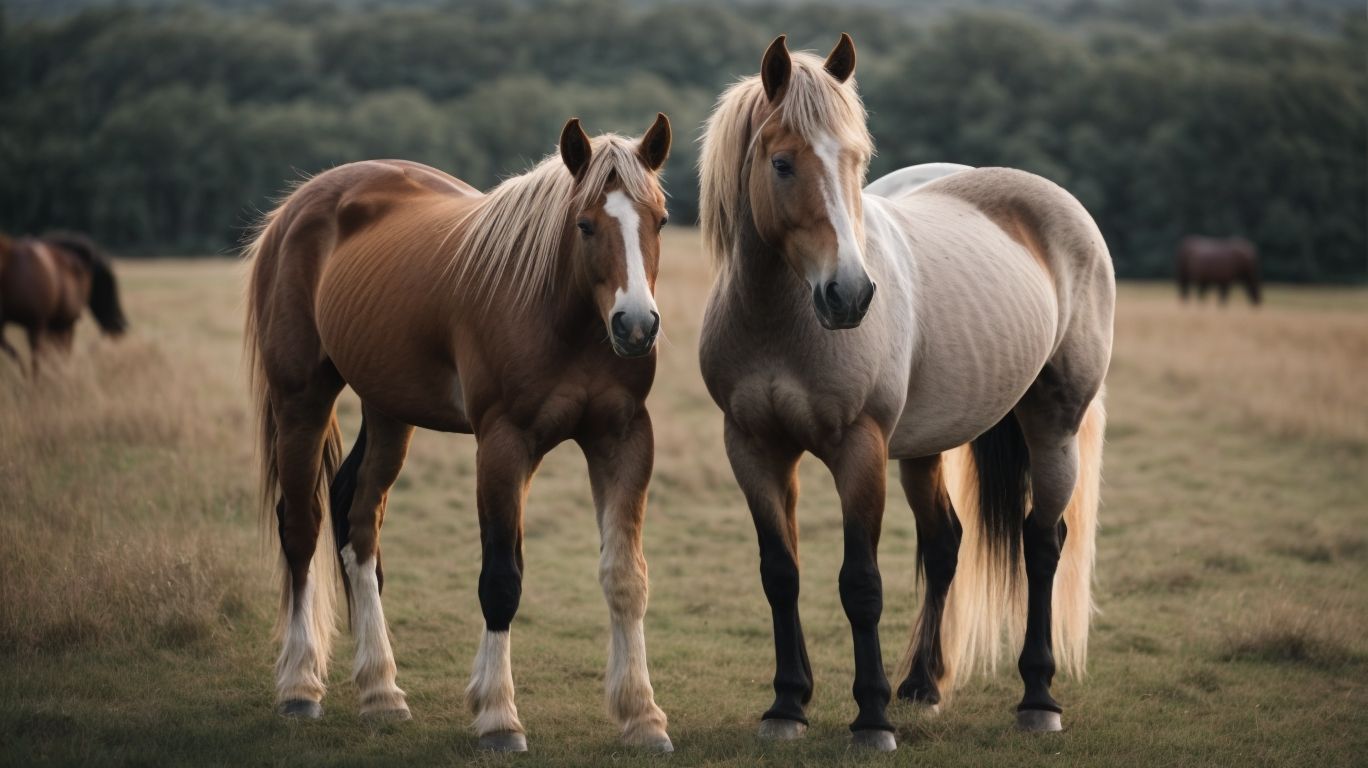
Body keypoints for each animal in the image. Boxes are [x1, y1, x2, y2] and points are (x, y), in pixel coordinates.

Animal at [243, 114, 675, 753]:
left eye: (660, 219)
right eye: (585, 224)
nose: (637, 325)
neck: (561, 316)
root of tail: (296, 207)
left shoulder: (622, 440)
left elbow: (626, 578)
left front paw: (642, 716)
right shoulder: (502, 445)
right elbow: (501, 579)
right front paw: (498, 716)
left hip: (388, 412)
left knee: (358, 522)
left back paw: (381, 692)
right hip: (302, 400)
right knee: (302, 528)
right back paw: (299, 685)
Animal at [698, 34, 1113, 749]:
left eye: (856, 159)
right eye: (781, 163)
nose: (850, 294)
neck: (780, 321)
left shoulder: (860, 451)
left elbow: (860, 584)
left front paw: (871, 716)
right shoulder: (753, 448)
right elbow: (781, 574)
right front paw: (787, 704)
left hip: (1054, 427)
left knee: (1041, 544)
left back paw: (1037, 697)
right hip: (925, 447)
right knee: (946, 545)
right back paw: (922, 682)